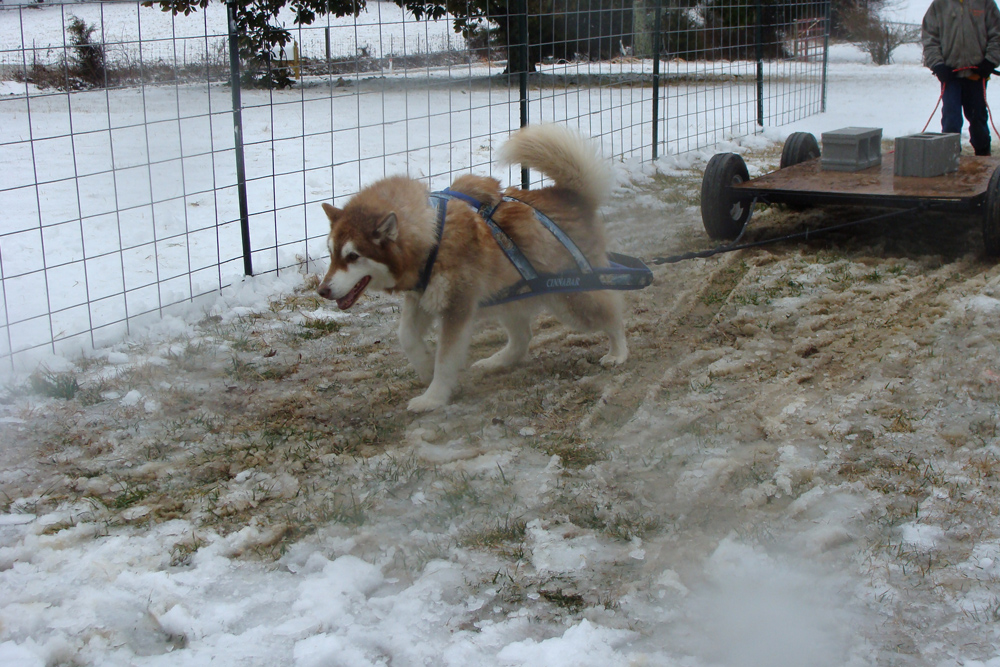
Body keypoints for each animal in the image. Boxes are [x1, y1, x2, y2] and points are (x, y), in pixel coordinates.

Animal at [316, 122, 624, 410]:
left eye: (353, 256)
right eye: (331, 253)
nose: (322, 290)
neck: (433, 236)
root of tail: (570, 196)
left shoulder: (456, 306)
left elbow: (445, 359)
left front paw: (433, 397)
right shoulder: (421, 296)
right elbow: (406, 337)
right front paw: (425, 367)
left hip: (571, 298)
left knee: (613, 314)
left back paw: (618, 352)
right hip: (511, 294)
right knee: (522, 337)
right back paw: (497, 361)